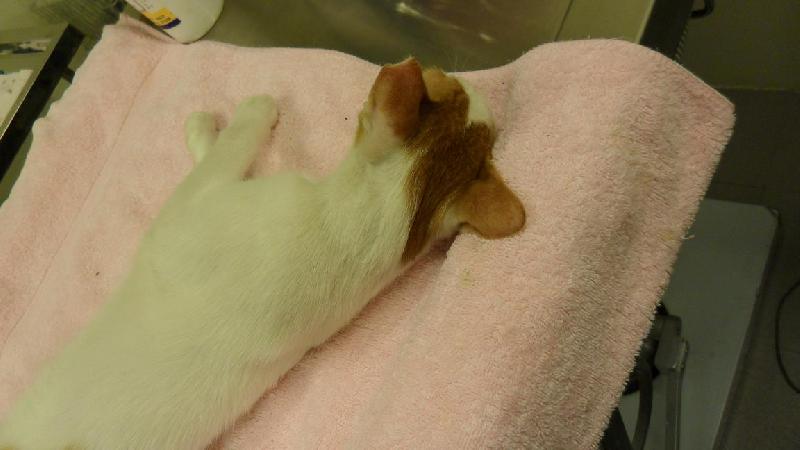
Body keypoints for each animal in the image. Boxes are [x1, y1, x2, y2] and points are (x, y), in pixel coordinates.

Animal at [0, 58, 525, 449]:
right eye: (450, 80)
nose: (454, 70)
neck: (356, 234)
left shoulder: (187, 212)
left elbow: (226, 152)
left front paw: (231, 119)